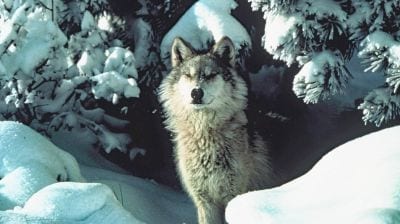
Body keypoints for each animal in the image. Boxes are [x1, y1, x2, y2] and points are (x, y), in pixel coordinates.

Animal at [159, 36, 272, 224]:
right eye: (188, 75)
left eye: (211, 75)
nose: (196, 93)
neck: (204, 135)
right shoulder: (204, 201)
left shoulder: (233, 196)